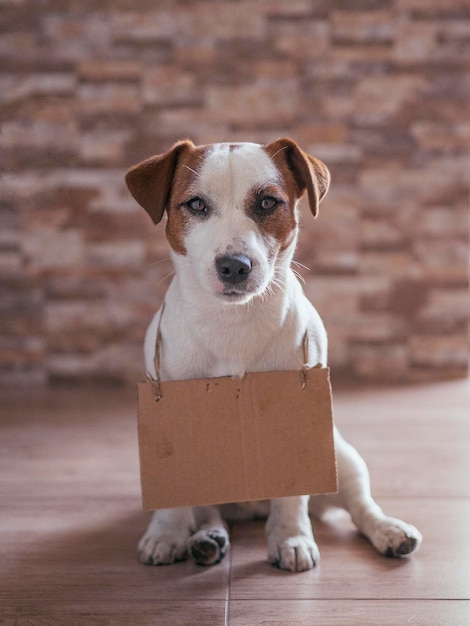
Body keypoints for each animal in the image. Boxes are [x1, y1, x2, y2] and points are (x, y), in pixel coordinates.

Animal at [125, 136, 422, 572]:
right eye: (195, 204)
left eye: (267, 202)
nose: (234, 265)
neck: (233, 322)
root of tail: (250, 507)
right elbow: (175, 496)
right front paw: (166, 533)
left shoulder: (300, 411)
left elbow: (292, 495)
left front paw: (291, 537)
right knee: (208, 510)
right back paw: (207, 538)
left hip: (343, 456)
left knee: (360, 506)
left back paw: (389, 531)